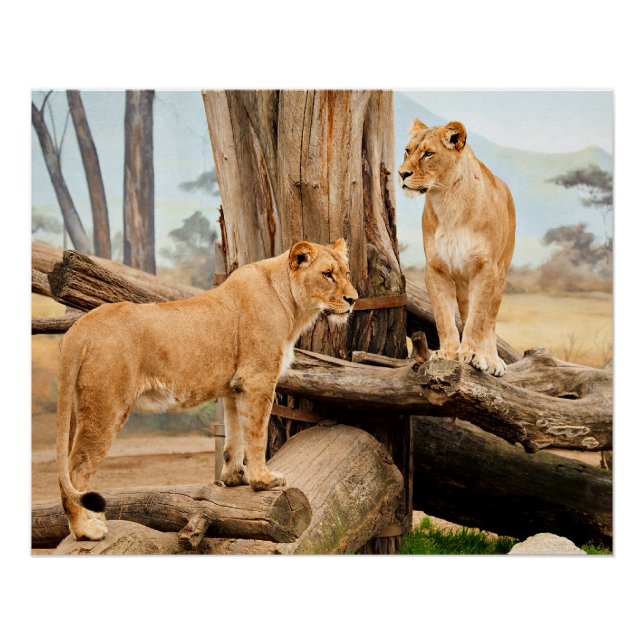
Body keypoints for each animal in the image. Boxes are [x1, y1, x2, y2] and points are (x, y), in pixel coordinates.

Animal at [56, 238, 358, 541]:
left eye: (346, 273)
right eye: (327, 275)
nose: (353, 300)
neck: (291, 302)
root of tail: (79, 329)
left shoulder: (235, 387)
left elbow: (234, 436)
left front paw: (234, 478)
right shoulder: (257, 379)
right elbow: (256, 435)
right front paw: (263, 480)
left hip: (79, 410)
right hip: (106, 408)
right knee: (75, 471)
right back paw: (86, 530)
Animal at [398, 119, 515, 376]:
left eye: (428, 154)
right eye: (408, 151)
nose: (402, 173)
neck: (447, 199)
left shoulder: (486, 268)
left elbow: (478, 319)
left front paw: (472, 354)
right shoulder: (435, 268)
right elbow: (444, 317)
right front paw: (447, 353)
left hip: (500, 274)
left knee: (490, 321)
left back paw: (492, 359)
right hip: (463, 280)